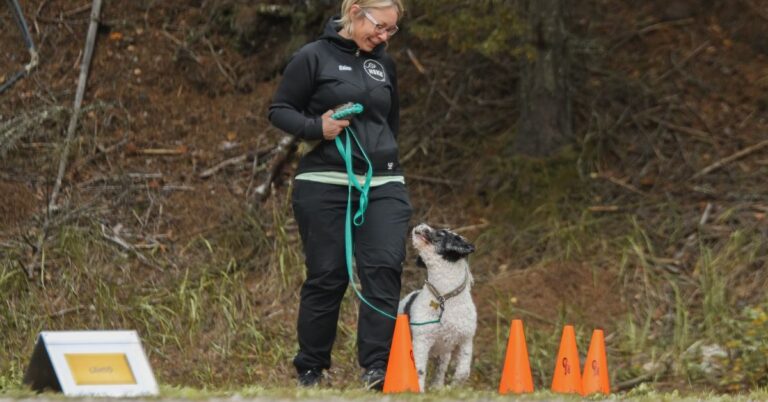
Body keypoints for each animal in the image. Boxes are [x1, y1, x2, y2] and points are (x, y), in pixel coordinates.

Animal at [400, 221, 476, 392]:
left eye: (441, 234)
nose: (421, 224)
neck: (444, 298)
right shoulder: (422, 341)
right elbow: (419, 370)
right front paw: (419, 392)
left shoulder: (466, 339)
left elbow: (463, 371)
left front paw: (454, 387)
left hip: (444, 352)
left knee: (440, 370)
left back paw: (437, 387)